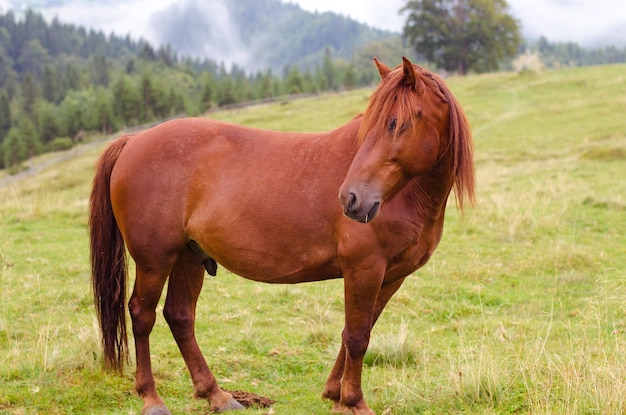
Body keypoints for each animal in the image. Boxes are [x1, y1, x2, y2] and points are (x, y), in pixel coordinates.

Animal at [89, 57, 472, 415]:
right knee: (142, 315)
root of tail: (133, 140)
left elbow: (355, 332)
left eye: (395, 123)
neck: (408, 194)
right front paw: (354, 401)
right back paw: (152, 398)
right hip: (155, 261)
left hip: (188, 256)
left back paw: (217, 395)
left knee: (180, 316)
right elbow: (358, 336)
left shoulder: (390, 276)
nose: (351, 199)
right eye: (373, 125)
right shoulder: (364, 269)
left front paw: (335, 395)